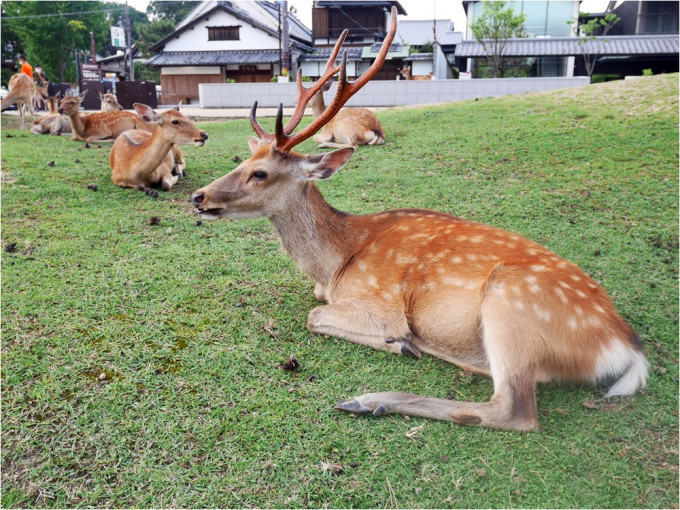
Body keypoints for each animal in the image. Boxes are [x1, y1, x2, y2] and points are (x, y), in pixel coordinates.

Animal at [193, 6, 648, 430]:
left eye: (260, 173)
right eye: (243, 159)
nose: (199, 197)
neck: (334, 265)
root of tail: (626, 347)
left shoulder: (378, 300)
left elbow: (314, 316)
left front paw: (397, 341)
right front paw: (402, 343)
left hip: (511, 302)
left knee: (514, 408)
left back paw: (371, 397)